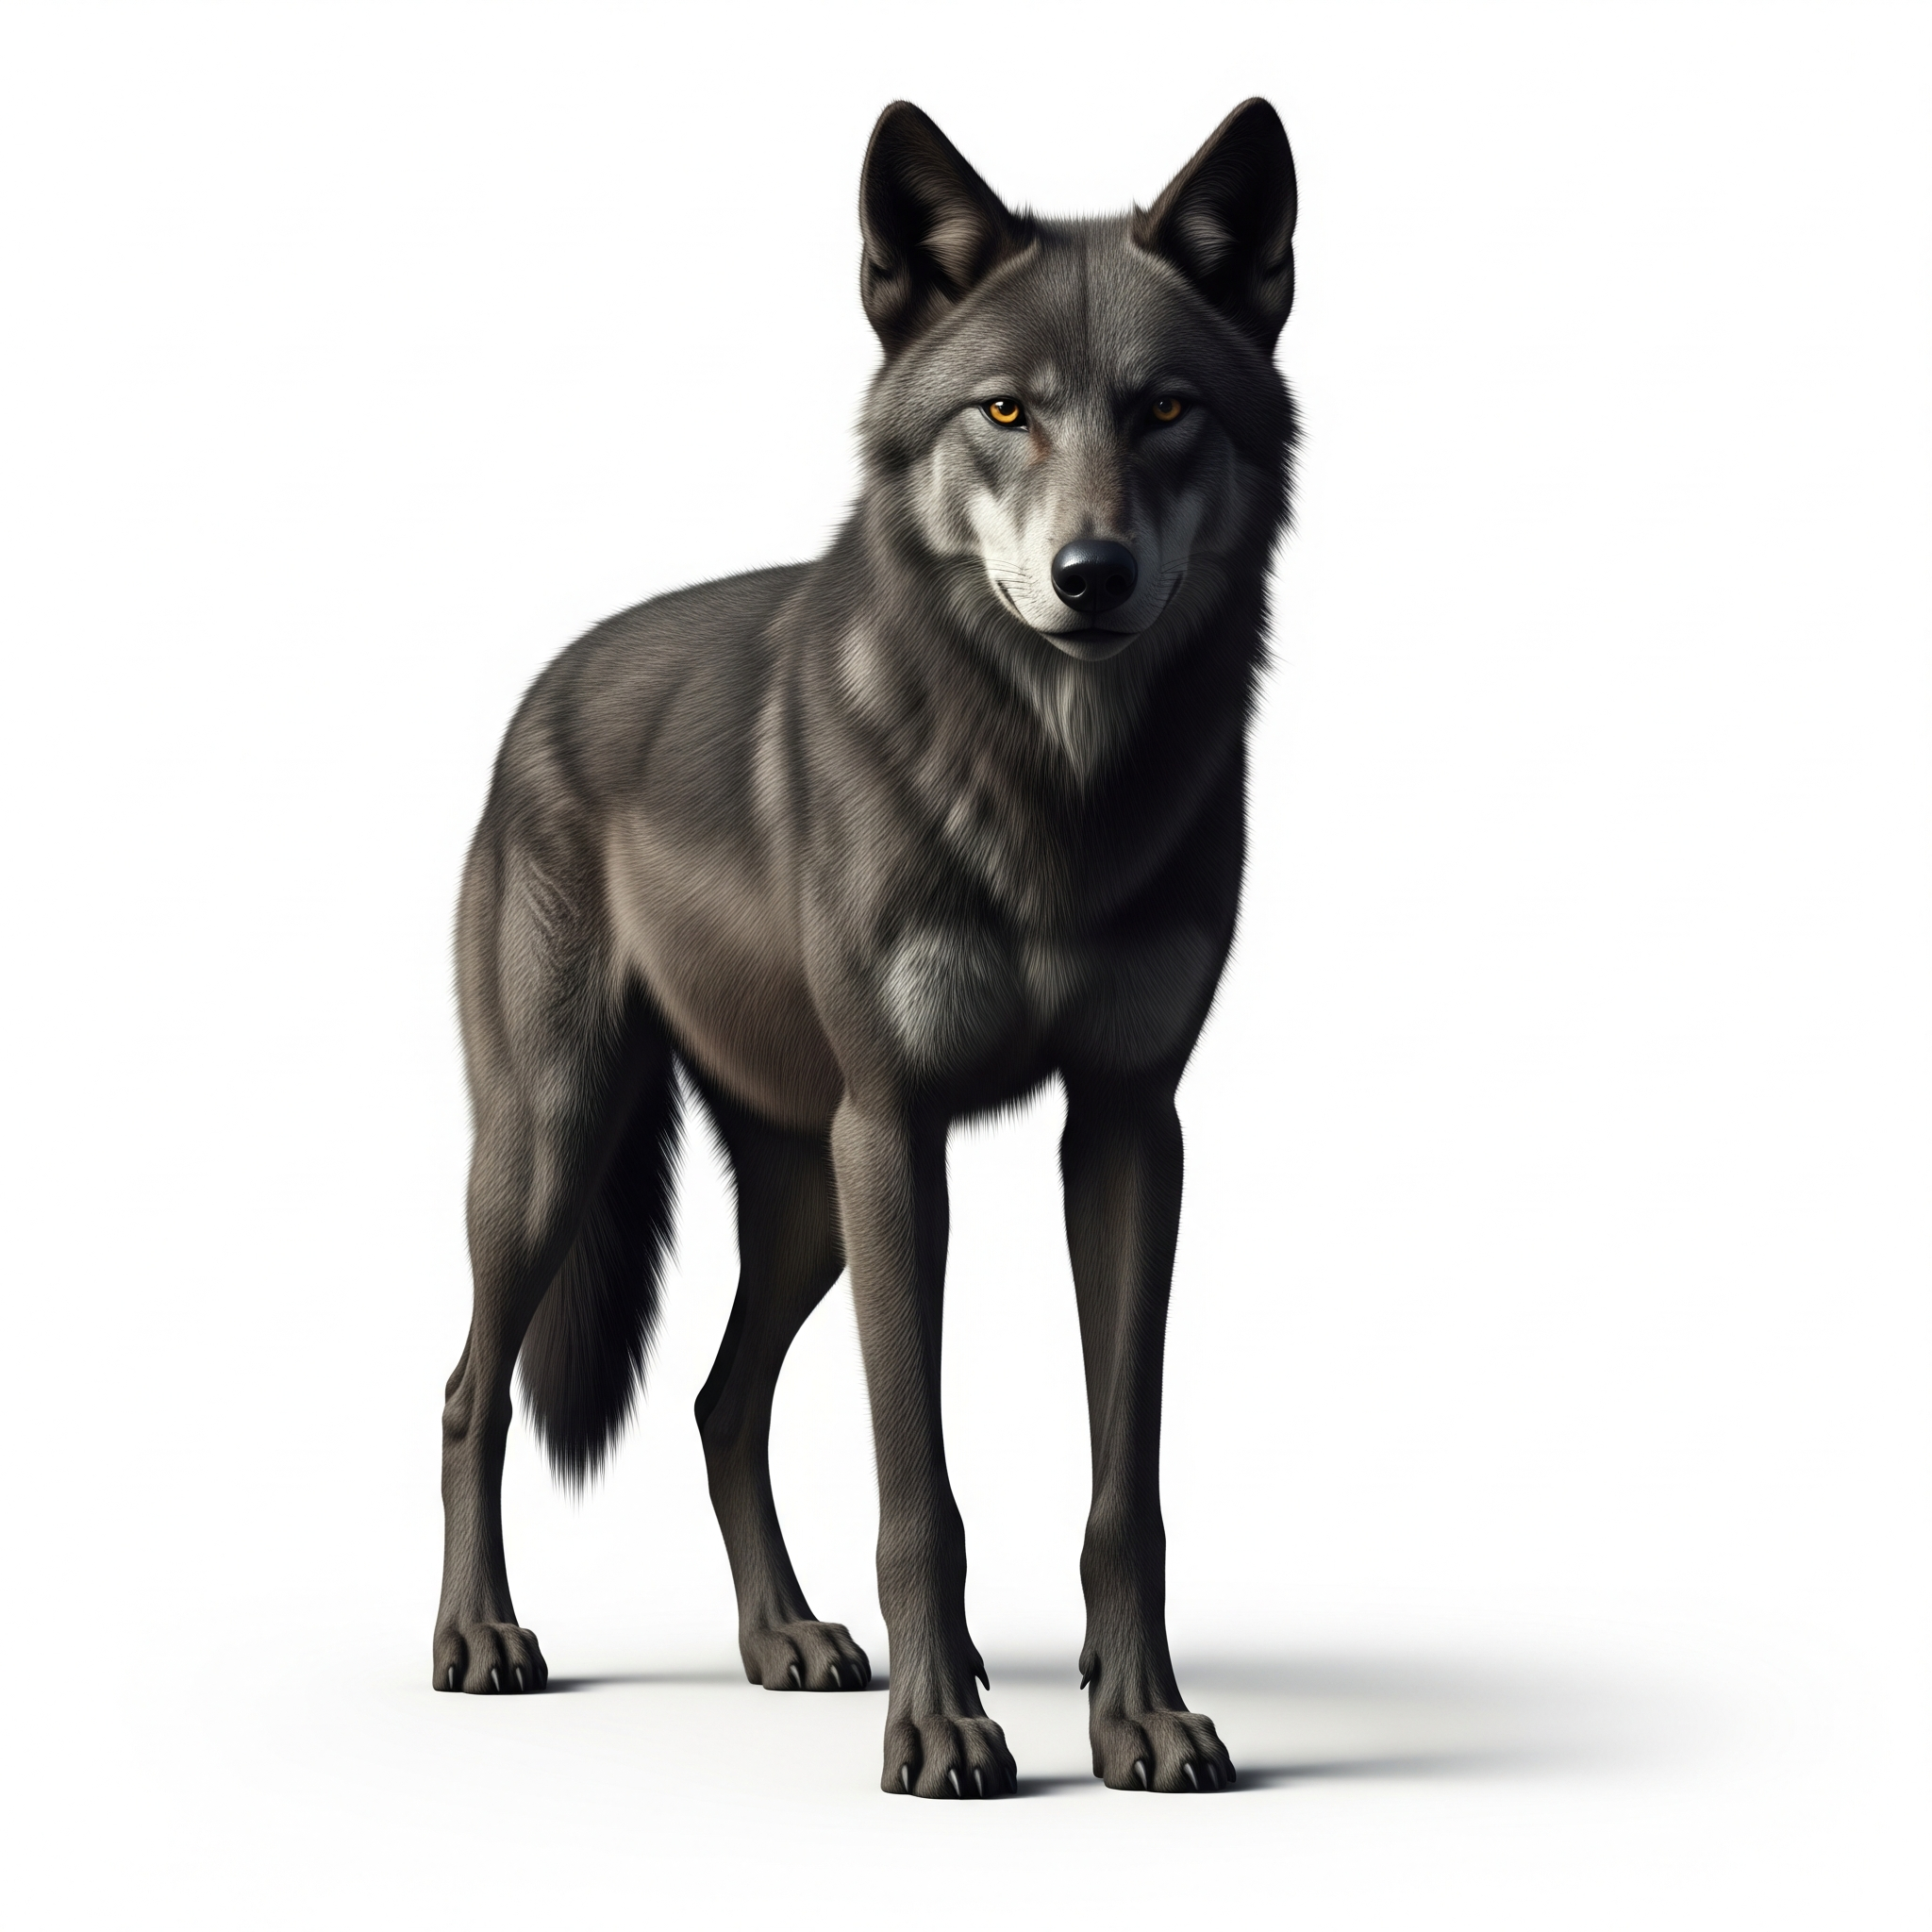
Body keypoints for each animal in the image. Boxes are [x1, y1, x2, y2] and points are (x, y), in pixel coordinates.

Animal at [434, 97, 1298, 1798]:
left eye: (1166, 408)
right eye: (1007, 412)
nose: (1091, 576)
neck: (1050, 788)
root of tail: (543, 689)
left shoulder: (1125, 1127)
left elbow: (1125, 1486)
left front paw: (1136, 1716)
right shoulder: (899, 1133)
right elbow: (922, 1488)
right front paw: (943, 1727)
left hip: (804, 1198)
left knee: (717, 1398)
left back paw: (786, 1640)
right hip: (565, 1151)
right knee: (468, 1393)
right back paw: (480, 1640)